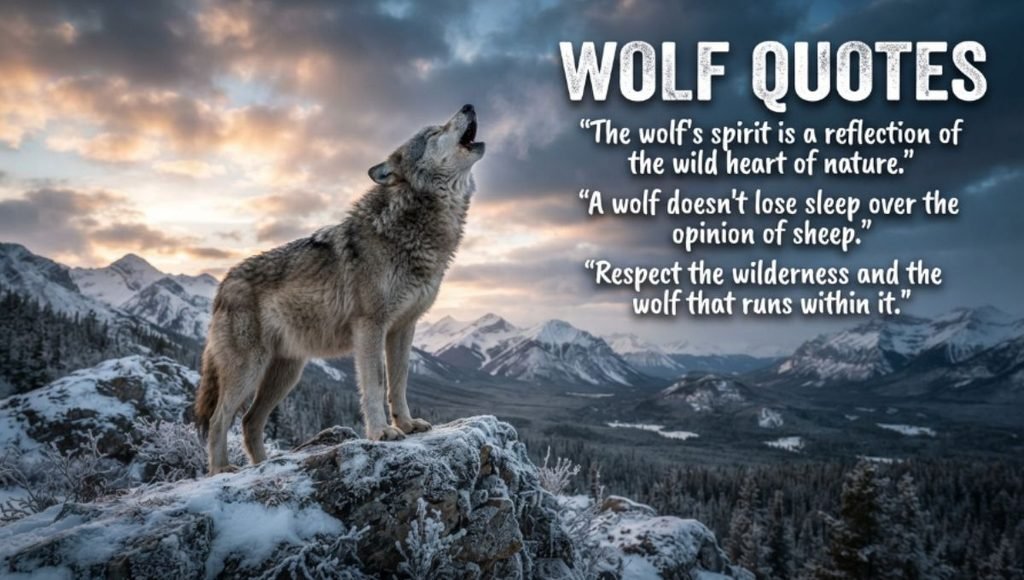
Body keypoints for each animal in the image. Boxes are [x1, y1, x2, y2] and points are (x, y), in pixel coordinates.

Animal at [195, 104, 484, 475]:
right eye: (435, 132)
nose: (468, 106)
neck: (413, 225)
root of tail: (223, 285)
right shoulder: (370, 326)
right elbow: (376, 383)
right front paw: (381, 432)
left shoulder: (403, 327)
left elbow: (400, 382)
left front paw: (406, 425)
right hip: (249, 370)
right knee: (219, 419)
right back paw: (221, 470)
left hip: (286, 374)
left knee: (249, 422)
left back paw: (265, 465)